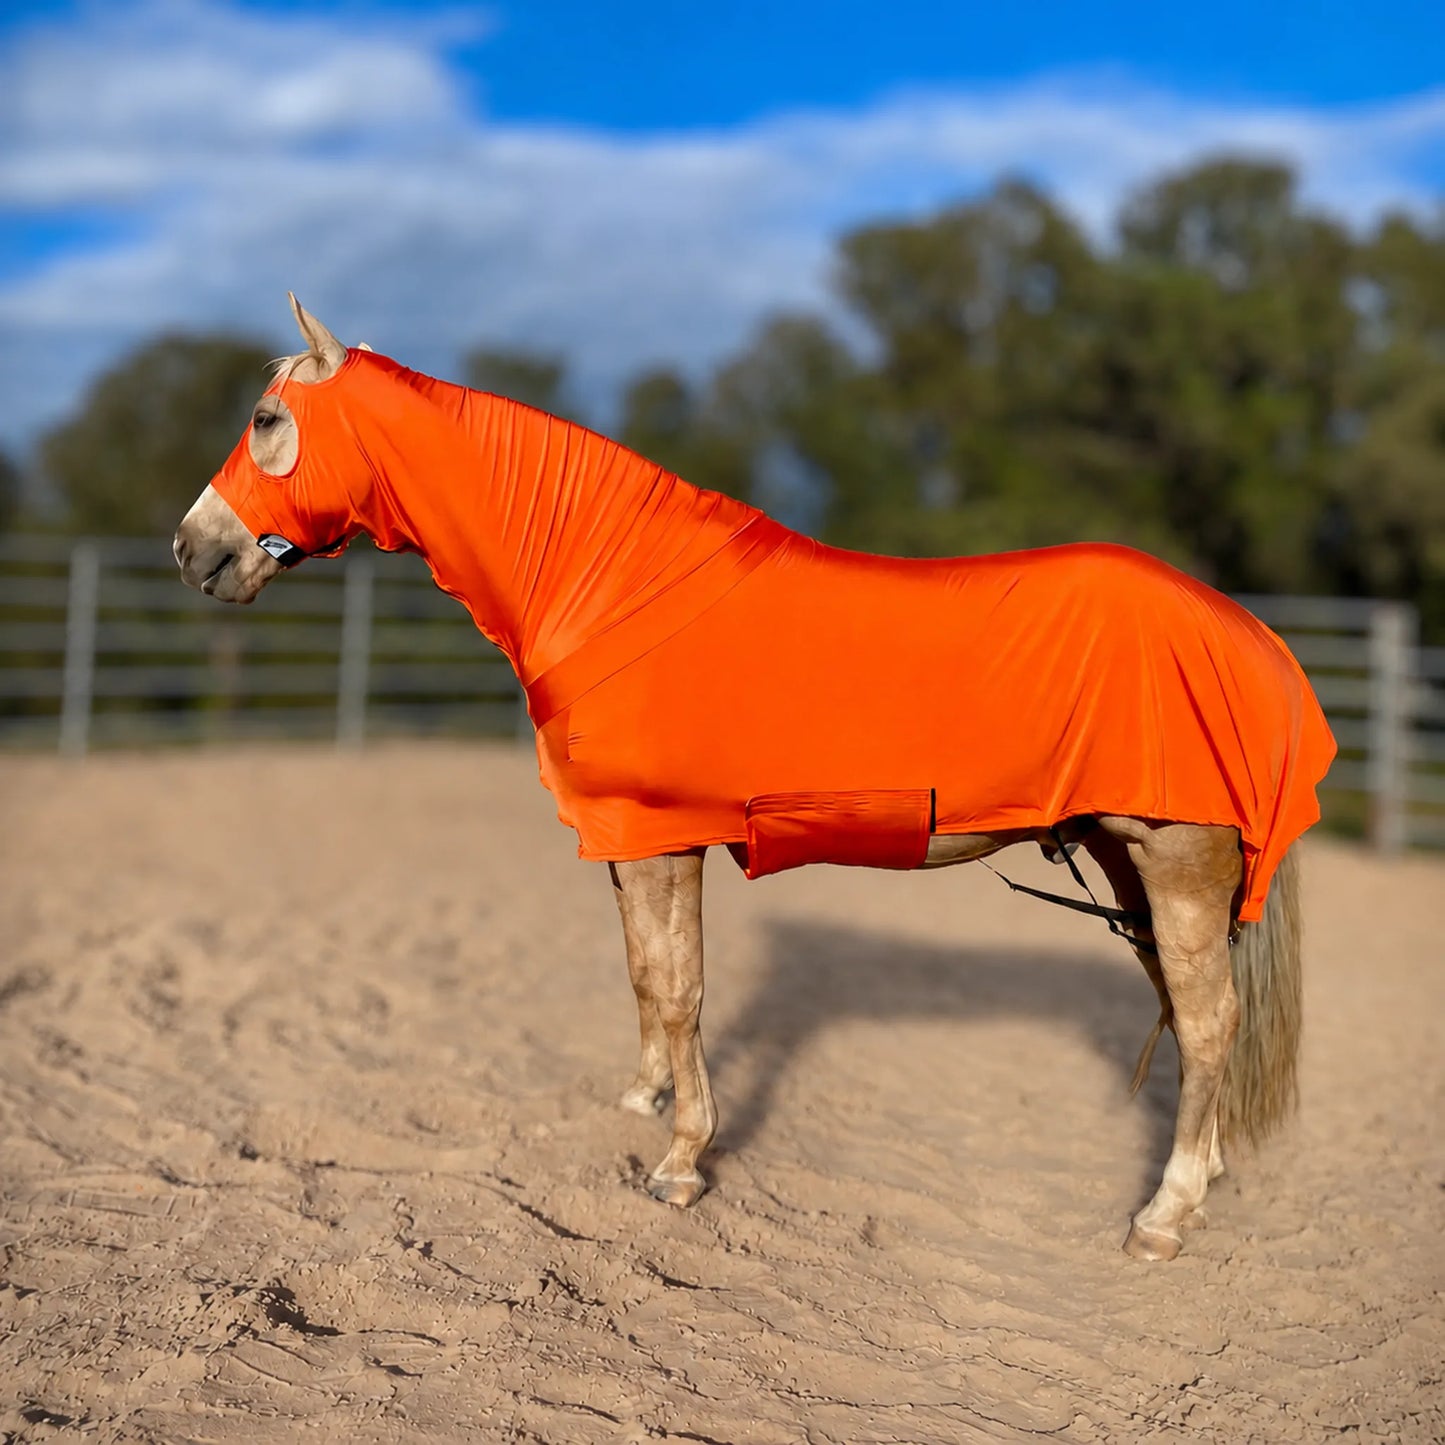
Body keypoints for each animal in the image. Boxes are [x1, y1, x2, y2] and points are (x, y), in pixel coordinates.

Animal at [174, 296, 1335, 1261]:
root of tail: (1247, 635)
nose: (193, 552)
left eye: (268, 418)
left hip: (1174, 861)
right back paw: (1202, 1177)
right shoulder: (624, 840)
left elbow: (679, 987)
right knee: (1187, 1010)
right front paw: (646, 1102)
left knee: (1207, 1022)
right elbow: (645, 977)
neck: (608, 581)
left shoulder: (661, 836)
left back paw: (1162, 1215)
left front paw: (682, 1161)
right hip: (1128, 864)